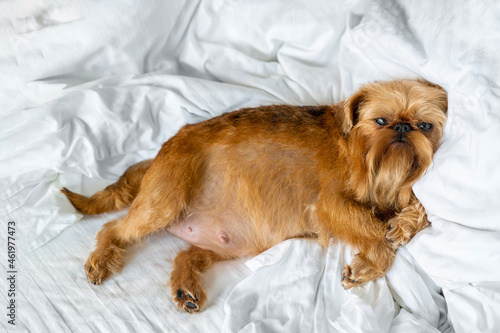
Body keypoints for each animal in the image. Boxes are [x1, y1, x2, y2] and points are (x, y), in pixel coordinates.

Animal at [60, 79, 448, 312]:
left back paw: (186, 287)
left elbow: (413, 210)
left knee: (187, 255)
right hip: (164, 199)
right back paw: (101, 258)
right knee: (113, 229)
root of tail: (158, 154)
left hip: (224, 245)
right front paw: (370, 263)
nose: (403, 127)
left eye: (425, 126)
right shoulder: (332, 206)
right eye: (380, 121)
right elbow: (375, 235)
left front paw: (404, 223)